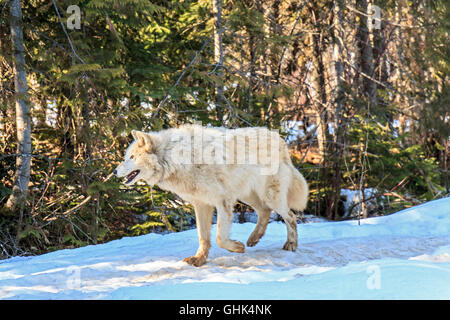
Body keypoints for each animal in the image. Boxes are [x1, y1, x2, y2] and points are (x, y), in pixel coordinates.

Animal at [114, 125, 308, 268]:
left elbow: (220, 238)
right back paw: (254, 239)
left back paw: (290, 244)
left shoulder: (223, 201)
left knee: (290, 216)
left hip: (269, 196)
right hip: (249, 196)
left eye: (131, 157)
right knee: (265, 212)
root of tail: (281, 141)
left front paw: (237, 248)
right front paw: (199, 260)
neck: (176, 159)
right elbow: (203, 237)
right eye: (126, 157)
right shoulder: (201, 204)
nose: (114, 171)